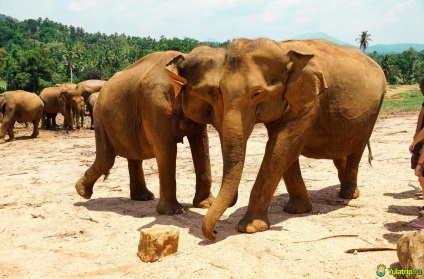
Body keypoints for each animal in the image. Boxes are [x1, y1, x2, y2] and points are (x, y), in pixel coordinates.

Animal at [75, 47, 229, 215]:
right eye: (211, 92)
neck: (184, 58)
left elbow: (201, 146)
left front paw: (206, 204)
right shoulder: (155, 104)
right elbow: (166, 149)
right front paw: (172, 212)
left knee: (133, 155)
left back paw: (142, 197)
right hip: (101, 118)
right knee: (107, 159)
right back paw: (82, 192)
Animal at [202, 38, 388, 241]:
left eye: (257, 93)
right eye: (219, 91)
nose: (215, 232)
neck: (282, 49)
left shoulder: (309, 104)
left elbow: (281, 148)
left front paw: (250, 228)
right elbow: (285, 151)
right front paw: (297, 211)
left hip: (372, 113)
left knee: (356, 149)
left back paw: (348, 195)